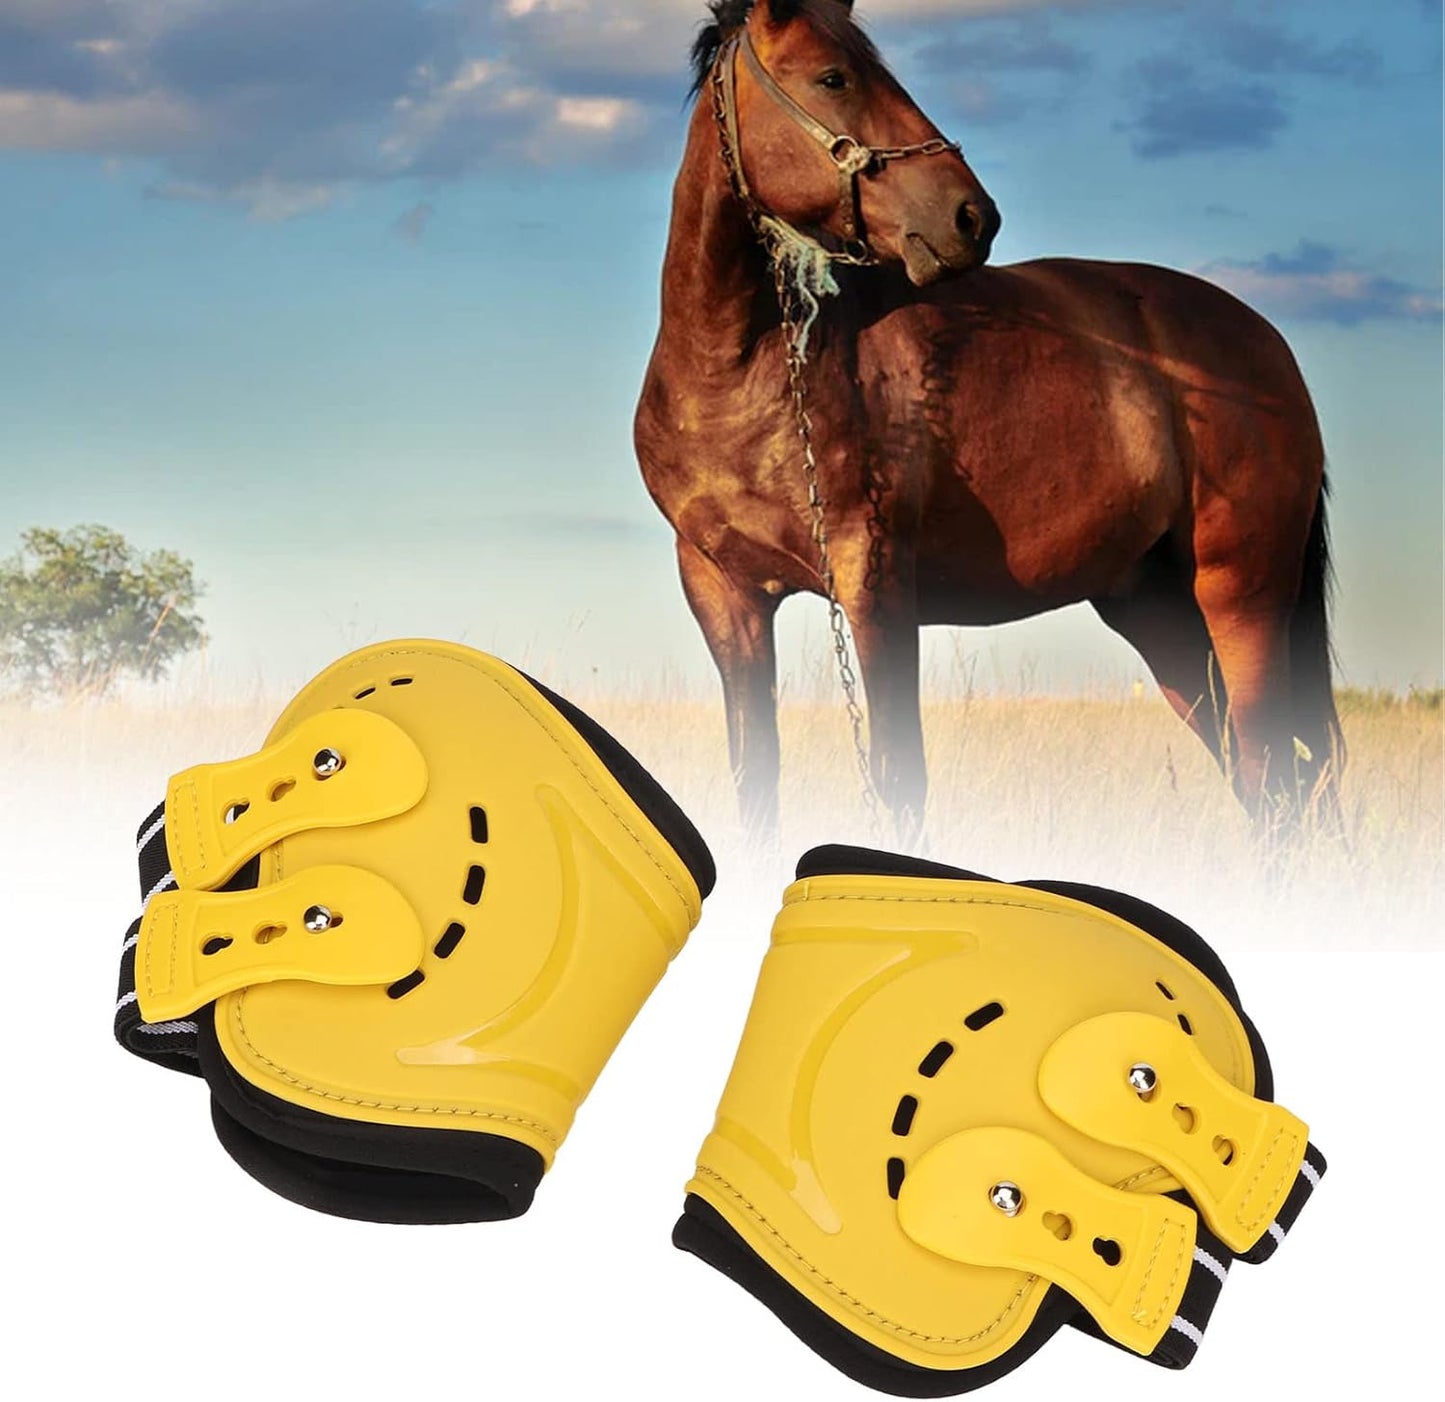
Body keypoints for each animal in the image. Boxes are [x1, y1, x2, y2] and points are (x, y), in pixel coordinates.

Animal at [635, 0, 1341, 841]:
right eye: (833, 77)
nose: (972, 217)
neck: (739, 370)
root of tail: (1268, 346)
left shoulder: (872, 580)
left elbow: (898, 781)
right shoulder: (724, 593)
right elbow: (755, 787)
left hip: (1242, 599)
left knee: (1273, 782)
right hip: (1159, 614)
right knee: (1263, 782)